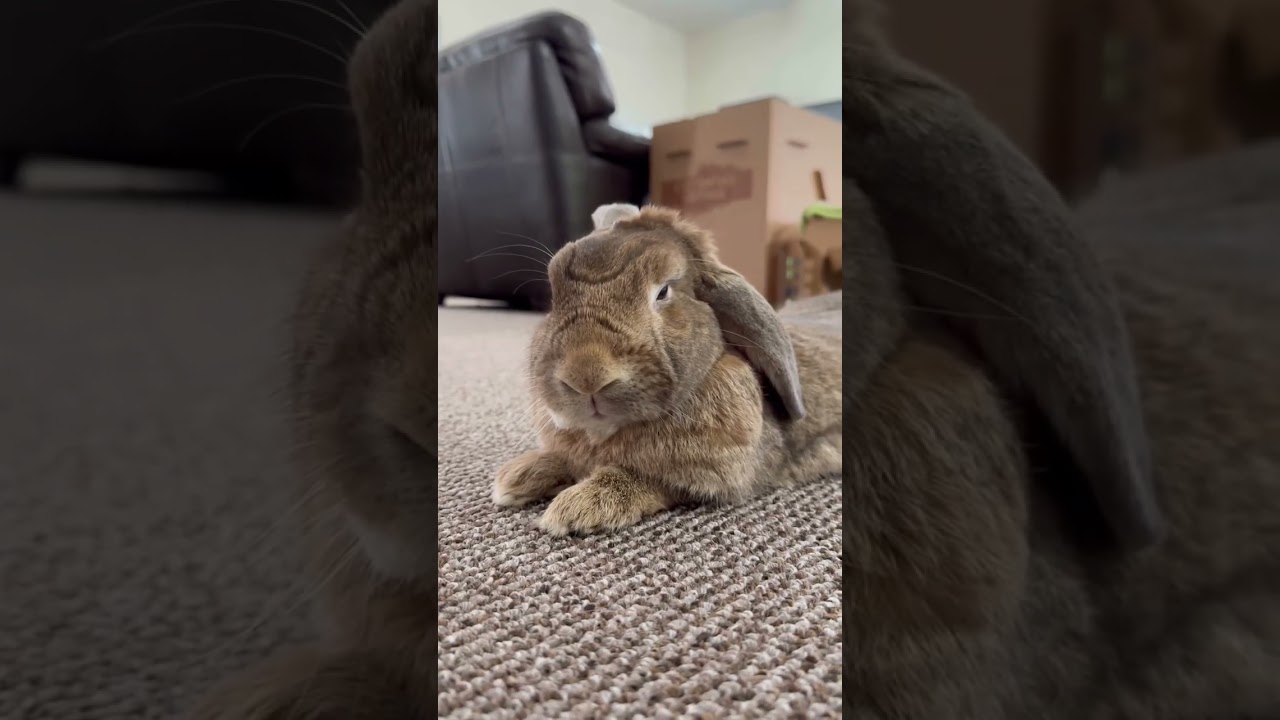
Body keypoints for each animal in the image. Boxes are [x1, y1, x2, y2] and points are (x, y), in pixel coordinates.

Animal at [490, 203, 842, 535]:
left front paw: (579, 507)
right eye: (553, 296)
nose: (586, 376)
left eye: (664, 292)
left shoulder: (710, 477)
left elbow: (646, 481)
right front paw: (517, 477)